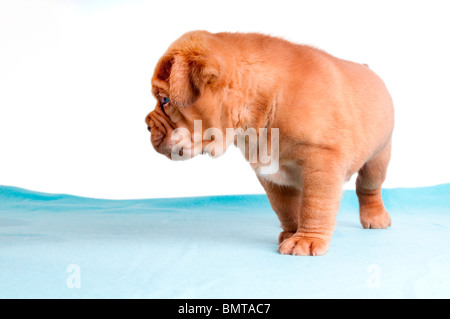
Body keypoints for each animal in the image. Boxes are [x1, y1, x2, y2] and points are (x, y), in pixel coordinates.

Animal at [147, 31, 394, 256]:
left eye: (165, 100)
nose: (147, 124)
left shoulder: (321, 162)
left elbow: (315, 205)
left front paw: (306, 239)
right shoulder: (271, 174)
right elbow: (285, 207)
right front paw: (291, 232)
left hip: (379, 156)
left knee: (368, 187)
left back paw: (375, 218)